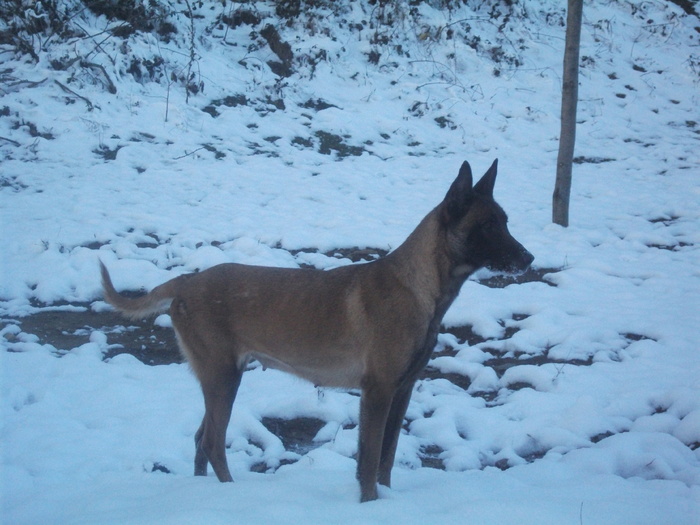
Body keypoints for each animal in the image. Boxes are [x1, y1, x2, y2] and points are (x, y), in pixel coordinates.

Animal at [101, 159, 532, 500]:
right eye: (488, 225)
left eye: (506, 221)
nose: (528, 258)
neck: (420, 287)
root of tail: (186, 282)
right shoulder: (377, 391)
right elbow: (369, 462)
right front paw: (370, 505)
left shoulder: (403, 389)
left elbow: (387, 459)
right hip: (222, 375)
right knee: (212, 442)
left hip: (221, 376)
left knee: (199, 440)